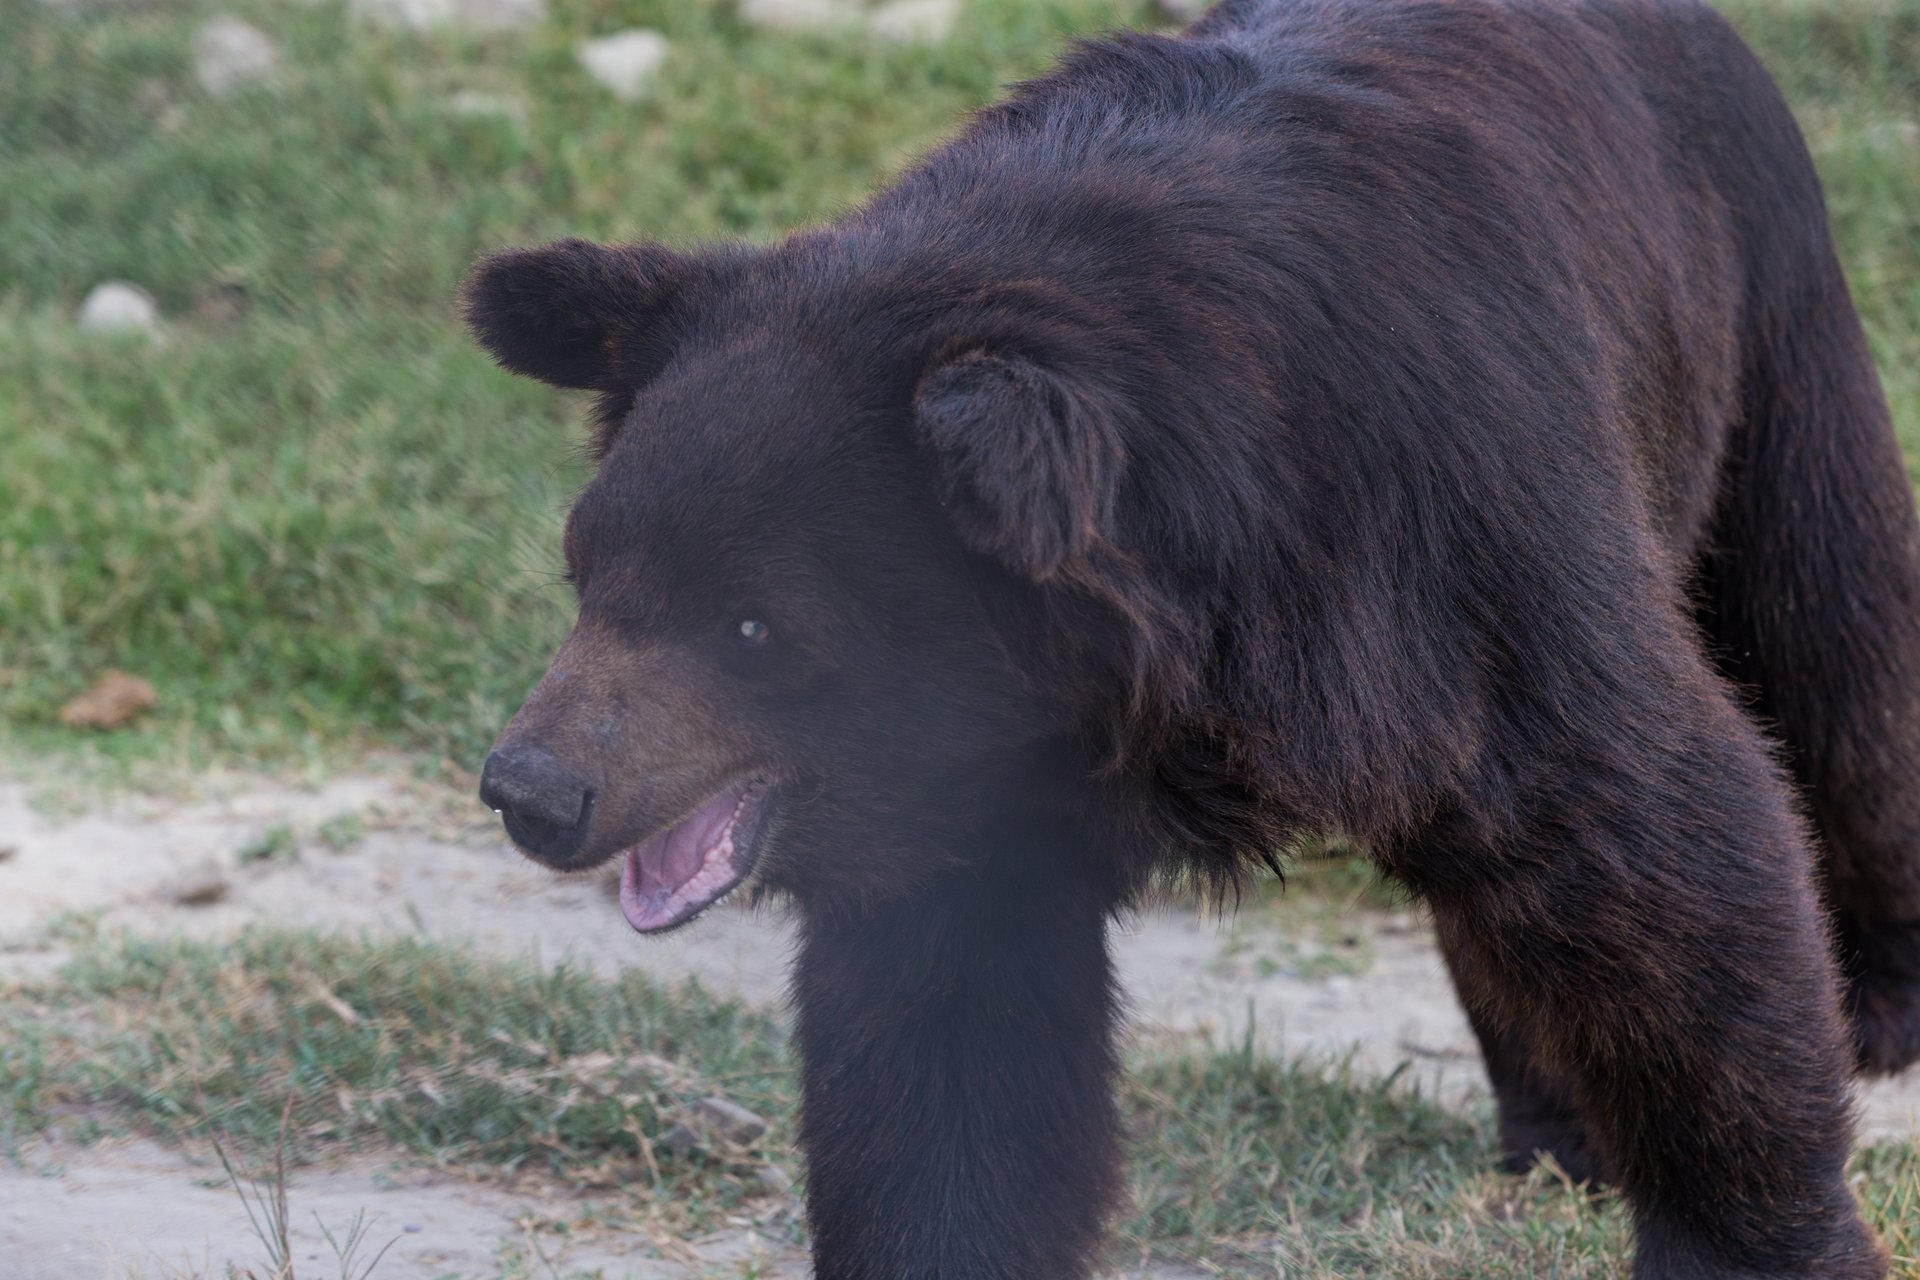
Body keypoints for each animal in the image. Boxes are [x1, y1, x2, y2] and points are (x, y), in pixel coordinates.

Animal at [464, 0, 1920, 1274]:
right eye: (586, 572)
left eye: (755, 625)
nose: (533, 790)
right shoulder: (972, 793)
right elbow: (949, 1053)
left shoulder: (1451, 531)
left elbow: (1651, 838)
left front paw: (1760, 1233)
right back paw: (1553, 1123)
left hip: (1762, 315)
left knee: (1833, 641)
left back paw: (1883, 1000)